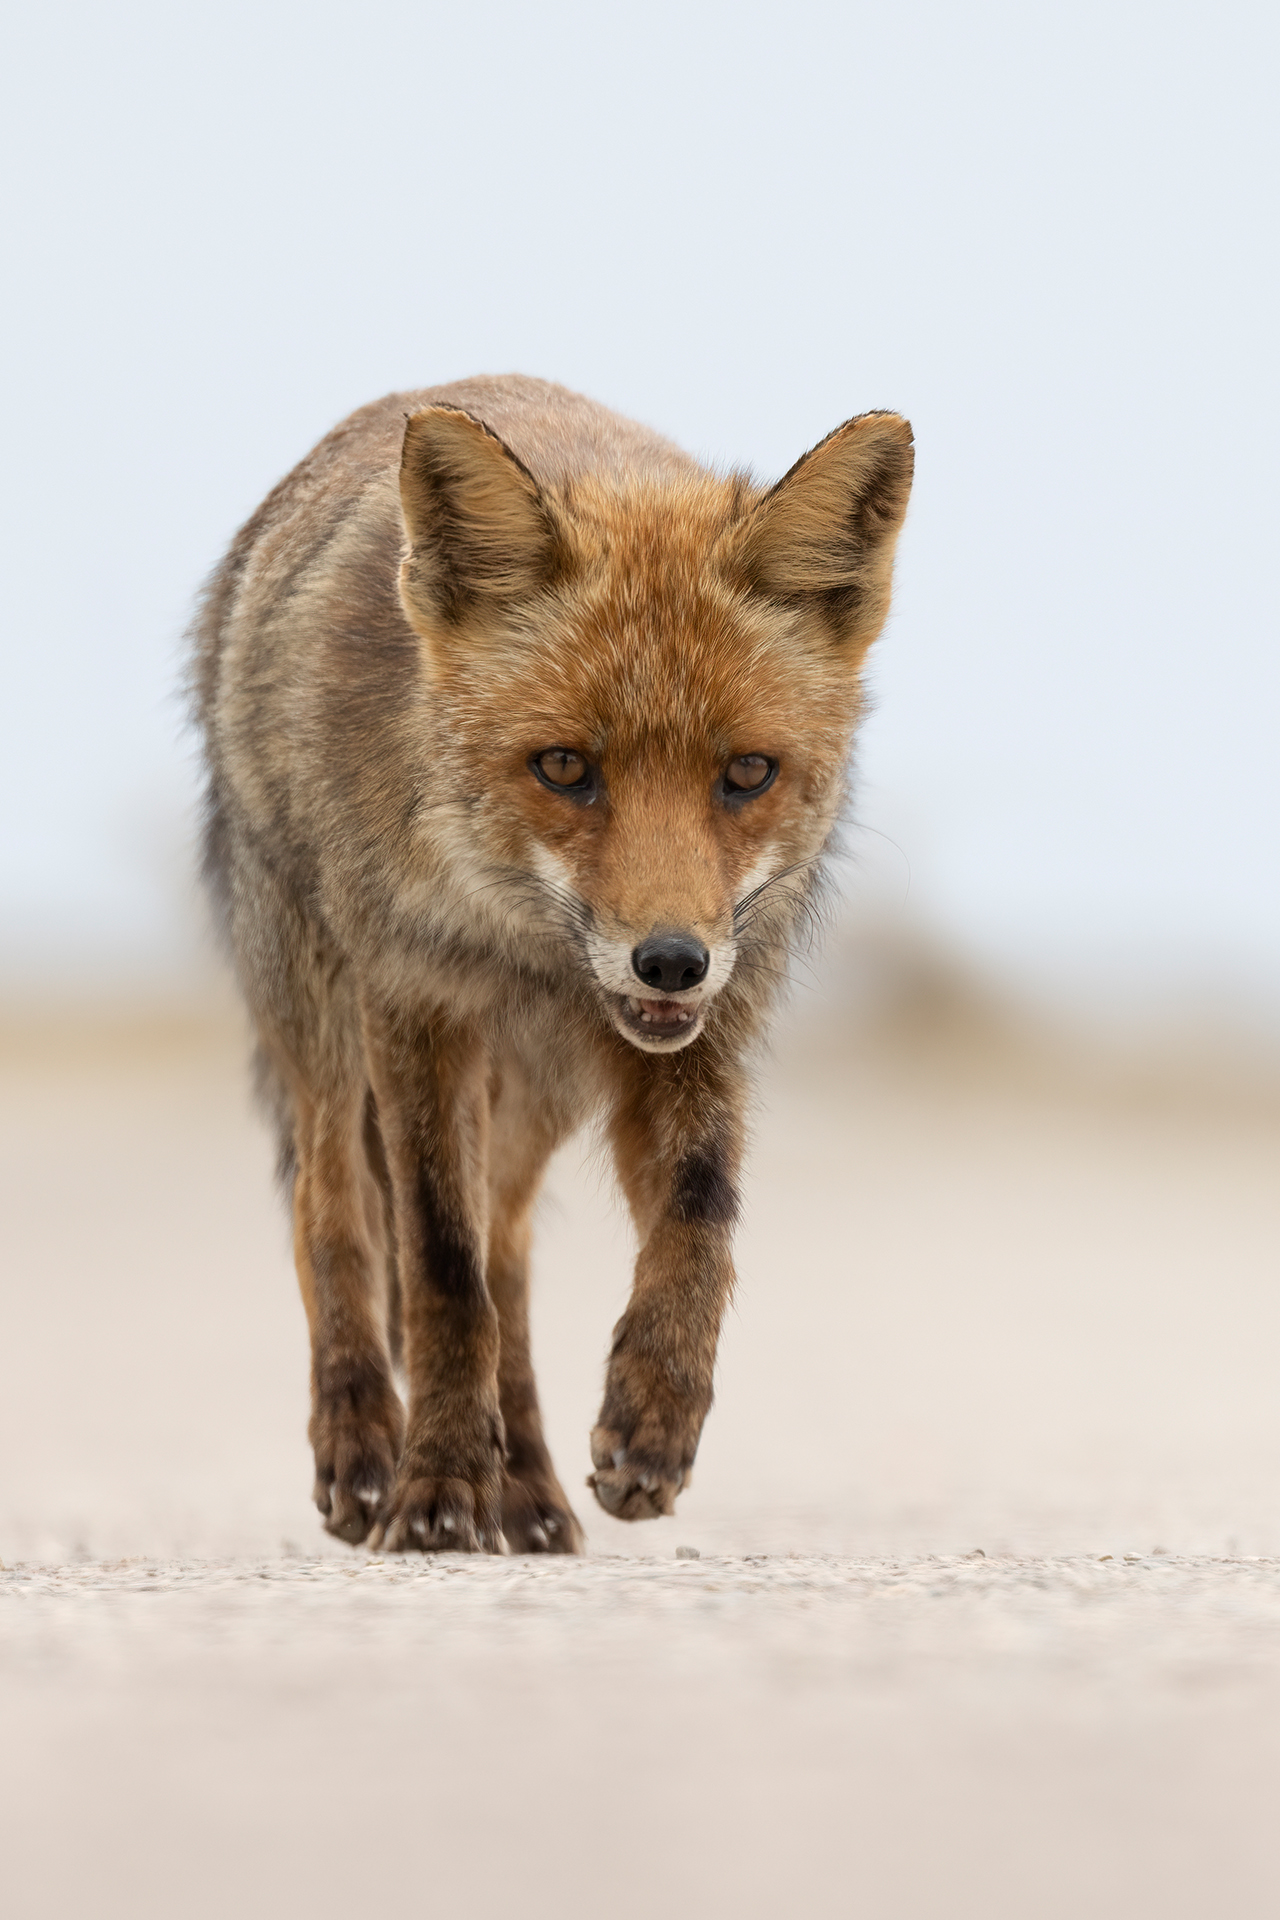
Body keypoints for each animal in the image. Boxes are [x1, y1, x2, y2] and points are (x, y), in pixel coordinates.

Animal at [192, 375, 912, 1554]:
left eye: (747, 773)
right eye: (565, 767)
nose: (670, 961)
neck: (527, 956)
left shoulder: (702, 1032)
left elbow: (696, 1215)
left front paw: (655, 1414)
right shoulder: (416, 1003)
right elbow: (439, 1268)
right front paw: (438, 1486)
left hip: (536, 1097)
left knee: (510, 1255)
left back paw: (523, 1485)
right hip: (319, 1012)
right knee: (333, 1208)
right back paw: (364, 1446)